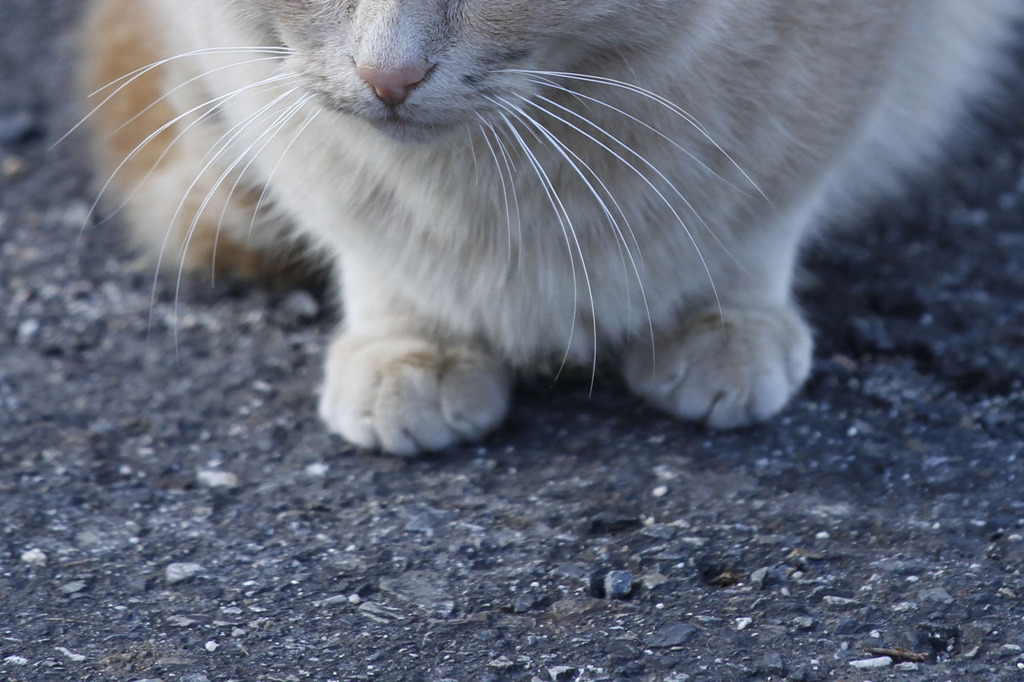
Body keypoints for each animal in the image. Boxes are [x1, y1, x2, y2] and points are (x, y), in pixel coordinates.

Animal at [81, 1, 1024, 456]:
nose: (389, 75)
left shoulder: (834, 70)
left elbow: (763, 203)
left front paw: (724, 319)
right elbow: (368, 232)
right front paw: (413, 342)